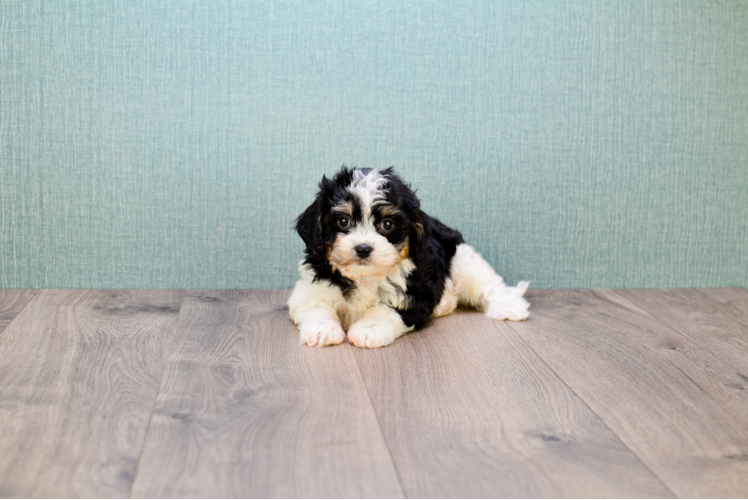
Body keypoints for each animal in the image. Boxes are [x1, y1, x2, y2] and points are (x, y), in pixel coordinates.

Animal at [288, 168, 532, 348]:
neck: (365, 277)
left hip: (462, 259)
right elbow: (315, 305)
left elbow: (387, 309)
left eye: (387, 224)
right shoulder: (311, 287)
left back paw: (509, 307)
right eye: (343, 221)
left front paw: (369, 329)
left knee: (487, 283)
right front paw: (322, 329)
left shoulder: (414, 295)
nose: (363, 248)